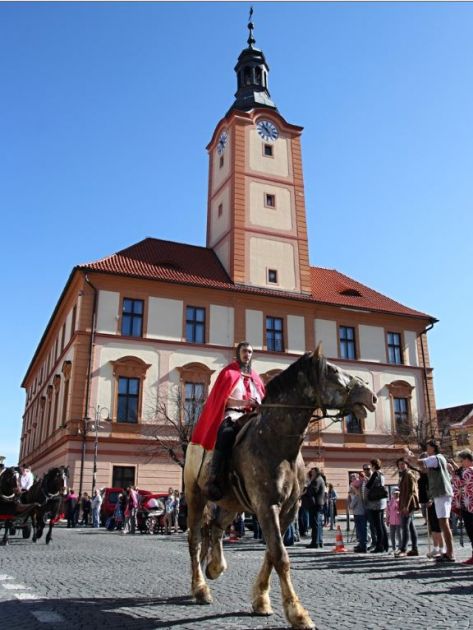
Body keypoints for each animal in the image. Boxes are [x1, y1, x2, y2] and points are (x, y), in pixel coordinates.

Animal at [183, 346, 376, 630]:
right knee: (196, 538)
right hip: (196, 497)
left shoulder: (289, 509)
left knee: (216, 529)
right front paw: (298, 614)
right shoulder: (266, 506)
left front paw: (261, 600)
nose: (371, 397)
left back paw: (215, 568)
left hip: (233, 503)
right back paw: (200, 588)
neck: (278, 442)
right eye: (332, 370)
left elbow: (272, 554)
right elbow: (280, 556)